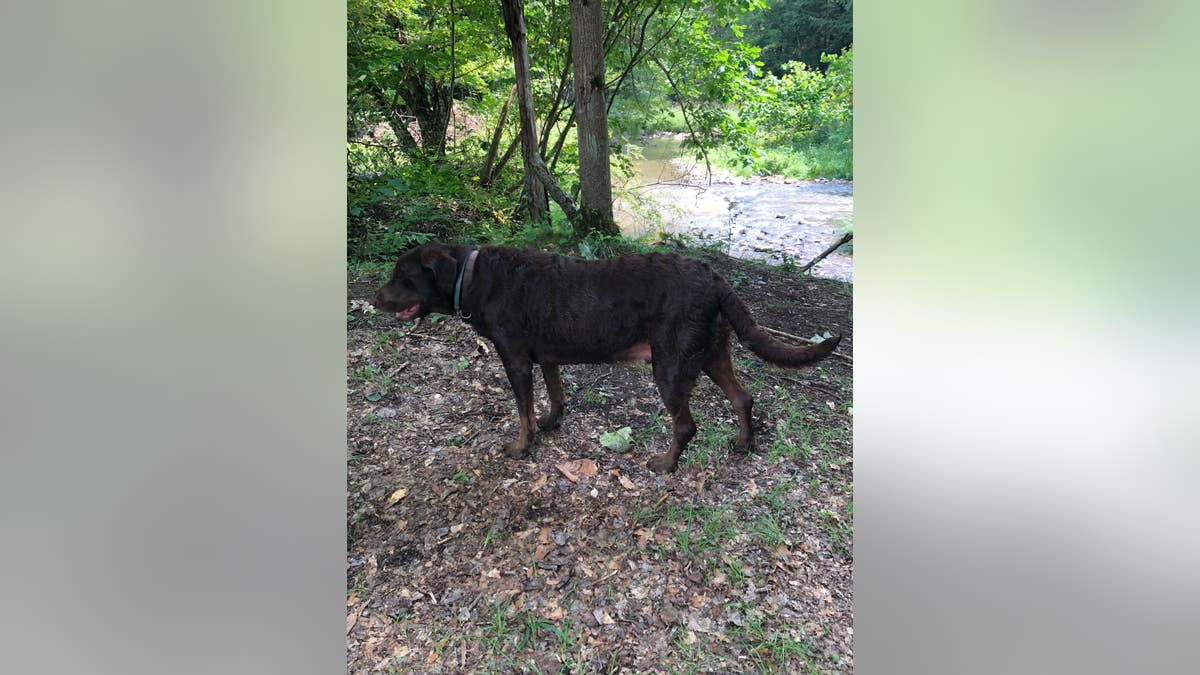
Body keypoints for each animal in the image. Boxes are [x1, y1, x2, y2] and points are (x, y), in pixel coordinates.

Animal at [369, 242, 840, 473]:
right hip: (711, 352)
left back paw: (665, 465)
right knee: (743, 398)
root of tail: (715, 277)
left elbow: (522, 412)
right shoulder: (546, 356)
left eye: (402, 276)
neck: (472, 276)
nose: (374, 299)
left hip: (670, 365)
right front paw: (551, 422)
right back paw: (743, 444)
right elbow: (555, 395)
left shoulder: (515, 359)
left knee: (686, 425)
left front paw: (522, 446)